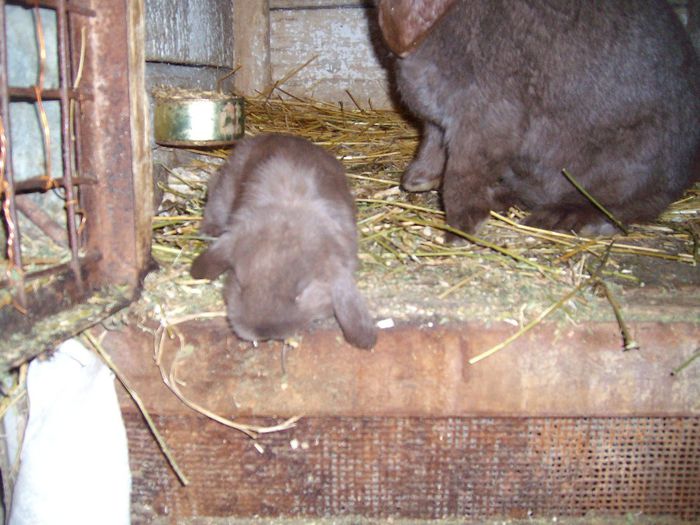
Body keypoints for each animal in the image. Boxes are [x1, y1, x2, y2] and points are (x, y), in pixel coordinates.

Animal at [378, 0, 700, 235]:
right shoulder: (437, 123)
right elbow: (431, 147)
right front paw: (416, 181)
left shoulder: (485, 122)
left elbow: (463, 174)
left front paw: (462, 228)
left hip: (627, 163)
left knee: (631, 205)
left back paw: (562, 218)